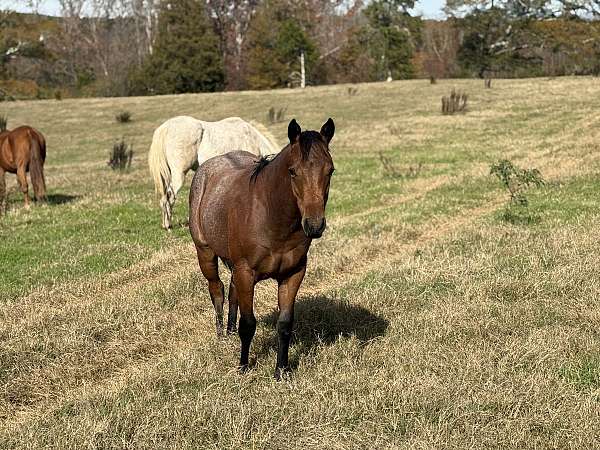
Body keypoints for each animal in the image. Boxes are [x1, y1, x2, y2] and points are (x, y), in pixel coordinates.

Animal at [190, 118, 336, 378]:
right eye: (292, 171)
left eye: (330, 170)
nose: (314, 225)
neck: (272, 217)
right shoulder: (246, 272)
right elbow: (248, 324)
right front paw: (243, 367)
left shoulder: (292, 274)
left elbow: (285, 324)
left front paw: (281, 370)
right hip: (205, 253)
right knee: (217, 290)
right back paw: (221, 335)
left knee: (231, 291)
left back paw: (229, 331)